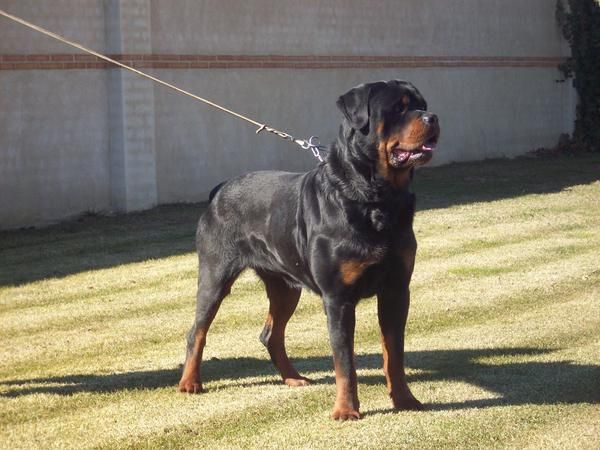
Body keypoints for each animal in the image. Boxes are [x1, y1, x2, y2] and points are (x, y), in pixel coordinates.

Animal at [178, 79, 440, 420]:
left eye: (422, 104)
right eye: (399, 107)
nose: (433, 117)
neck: (375, 198)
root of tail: (220, 189)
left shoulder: (396, 290)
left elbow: (394, 352)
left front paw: (405, 399)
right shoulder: (338, 299)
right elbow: (345, 361)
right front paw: (346, 410)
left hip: (286, 285)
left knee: (271, 334)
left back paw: (293, 377)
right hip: (215, 275)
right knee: (197, 330)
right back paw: (189, 382)